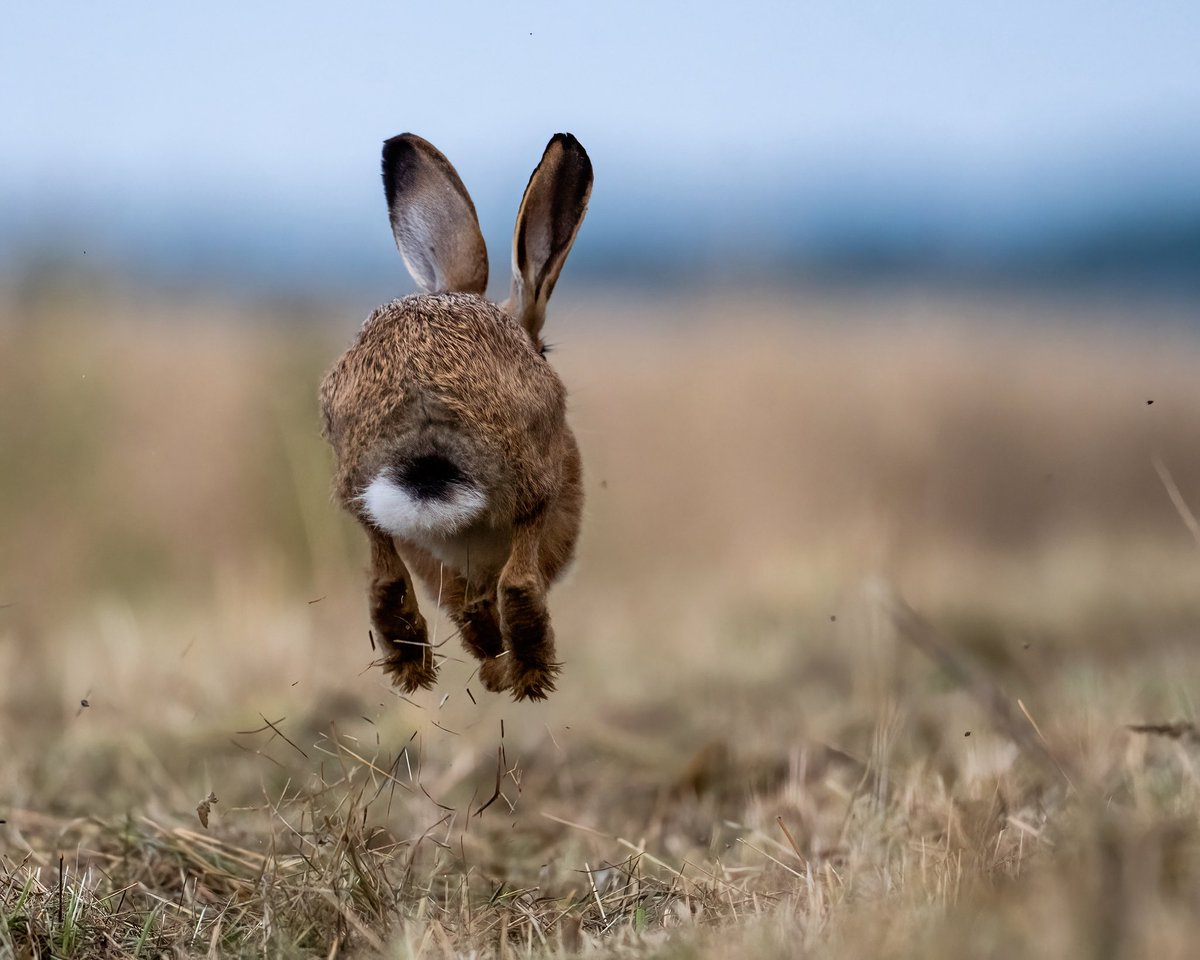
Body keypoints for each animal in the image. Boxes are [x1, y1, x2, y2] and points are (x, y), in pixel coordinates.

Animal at [320, 132, 592, 702]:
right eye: (546, 350)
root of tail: (423, 396)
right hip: (533, 485)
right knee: (518, 585)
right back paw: (527, 676)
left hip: (361, 488)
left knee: (386, 582)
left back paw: (415, 669)